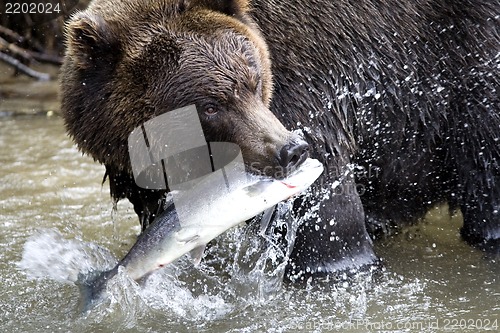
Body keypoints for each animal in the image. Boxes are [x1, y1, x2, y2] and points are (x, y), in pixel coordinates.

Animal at [60, 0, 498, 280]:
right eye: (210, 106)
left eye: (253, 81)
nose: (290, 150)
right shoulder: (142, 179)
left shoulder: (311, 93)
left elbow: (330, 225)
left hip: (467, 67)